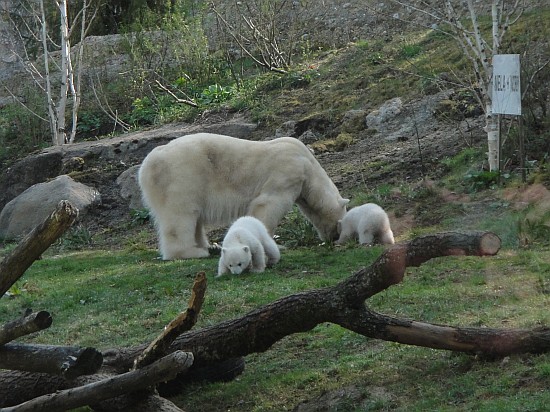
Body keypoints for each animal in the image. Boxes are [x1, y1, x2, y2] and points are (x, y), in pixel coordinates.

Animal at [138, 134, 350, 260]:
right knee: (181, 214)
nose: (334, 238)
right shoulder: (287, 172)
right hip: (182, 176)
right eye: (340, 223)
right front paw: (273, 244)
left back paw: (208, 246)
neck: (308, 164)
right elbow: (268, 205)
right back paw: (193, 252)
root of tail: (147, 166)